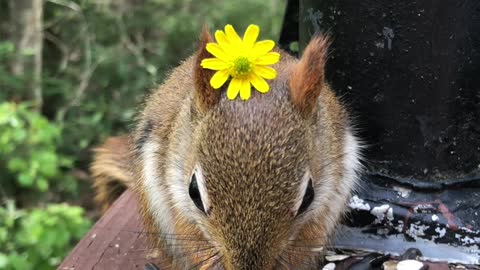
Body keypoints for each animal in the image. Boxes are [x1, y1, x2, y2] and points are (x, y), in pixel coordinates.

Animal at [90, 28, 362, 270]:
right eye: (194, 192)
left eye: (308, 197)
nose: (245, 266)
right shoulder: (175, 194)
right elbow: (192, 238)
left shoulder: (326, 203)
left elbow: (306, 240)